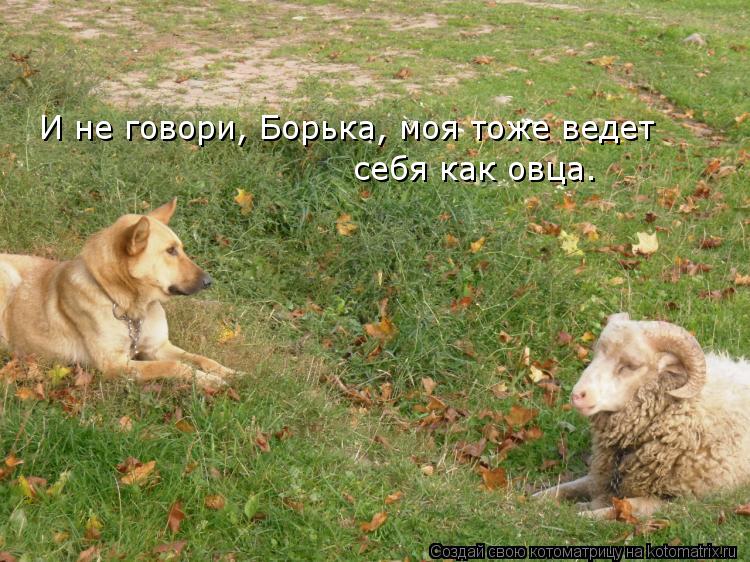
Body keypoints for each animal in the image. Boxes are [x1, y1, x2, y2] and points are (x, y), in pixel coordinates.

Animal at [534, 312, 750, 518]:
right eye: (596, 354)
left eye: (631, 365)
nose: (577, 395)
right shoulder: (600, 477)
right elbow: (562, 489)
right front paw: (536, 501)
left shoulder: (682, 501)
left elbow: (617, 509)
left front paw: (580, 513)